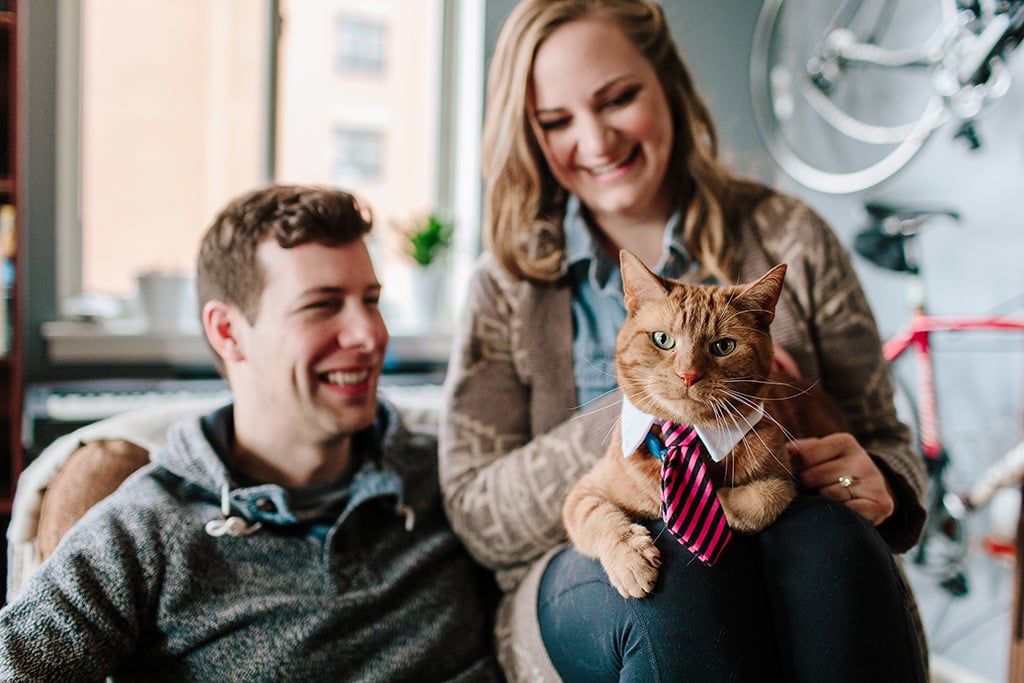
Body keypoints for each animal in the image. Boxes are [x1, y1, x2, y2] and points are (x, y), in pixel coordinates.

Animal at [565, 249, 843, 598]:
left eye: (723, 346)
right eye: (663, 339)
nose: (688, 374)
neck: (687, 438)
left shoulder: (785, 475)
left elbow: (766, 497)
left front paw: (709, 504)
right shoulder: (583, 493)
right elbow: (599, 518)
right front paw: (631, 558)